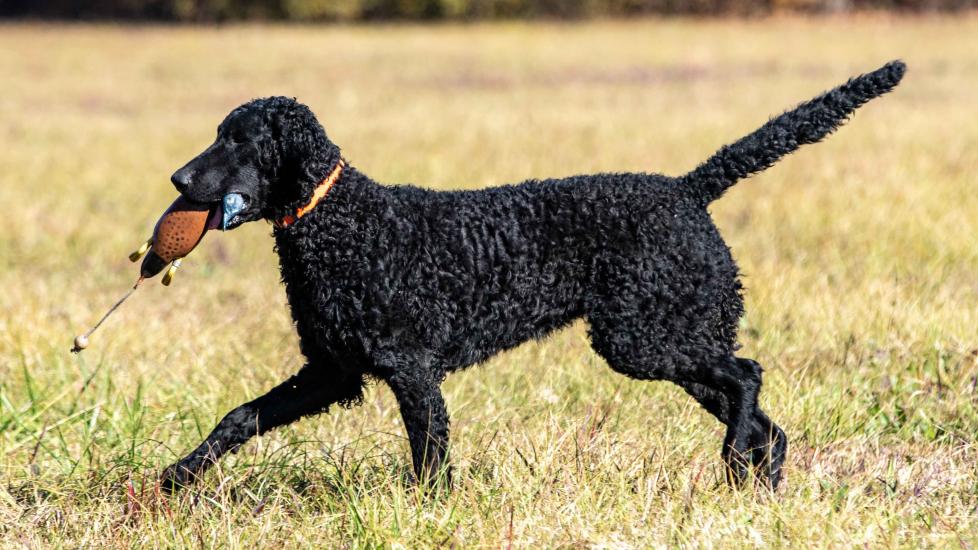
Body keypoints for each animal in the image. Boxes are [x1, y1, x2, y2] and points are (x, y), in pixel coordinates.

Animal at [158, 61, 900, 496]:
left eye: (240, 140)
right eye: (218, 132)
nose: (177, 178)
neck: (344, 222)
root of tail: (686, 189)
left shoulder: (410, 370)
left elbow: (430, 455)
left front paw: (430, 515)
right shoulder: (333, 372)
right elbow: (239, 417)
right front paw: (175, 477)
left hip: (645, 340)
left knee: (748, 377)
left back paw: (729, 460)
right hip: (675, 339)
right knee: (766, 423)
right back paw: (754, 484)